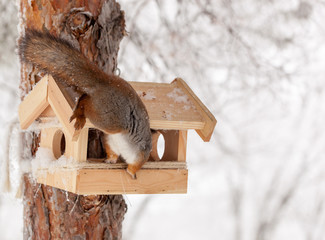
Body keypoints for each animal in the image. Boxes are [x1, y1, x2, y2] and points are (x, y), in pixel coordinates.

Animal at [19, 29, 152, 178]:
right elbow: (136, 165)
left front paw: (110, 161)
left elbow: (112, 153)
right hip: (110, 119)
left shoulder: (111, 143)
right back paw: (80, 114)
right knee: (87, 103)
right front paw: (131, 173)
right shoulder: (141, 153)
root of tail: (105, 84)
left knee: (84, 97)